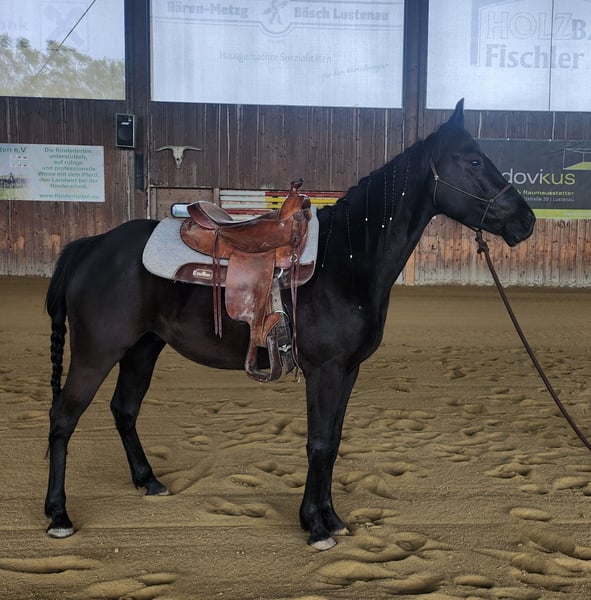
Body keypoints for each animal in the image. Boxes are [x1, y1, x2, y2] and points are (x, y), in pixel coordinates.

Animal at [45, 102, 536, 548]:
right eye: (473, 160)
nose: (526, 220)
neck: (348, 258)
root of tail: (90, 245)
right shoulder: (325, 370)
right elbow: (317, 443)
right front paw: (316, 528)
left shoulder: (348, 370)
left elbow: (332, 443)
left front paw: (330, 519)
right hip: (97, 352)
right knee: (63, 417)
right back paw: (58, 515)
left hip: (142, 348)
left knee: (124, 410)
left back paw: (148, 481)